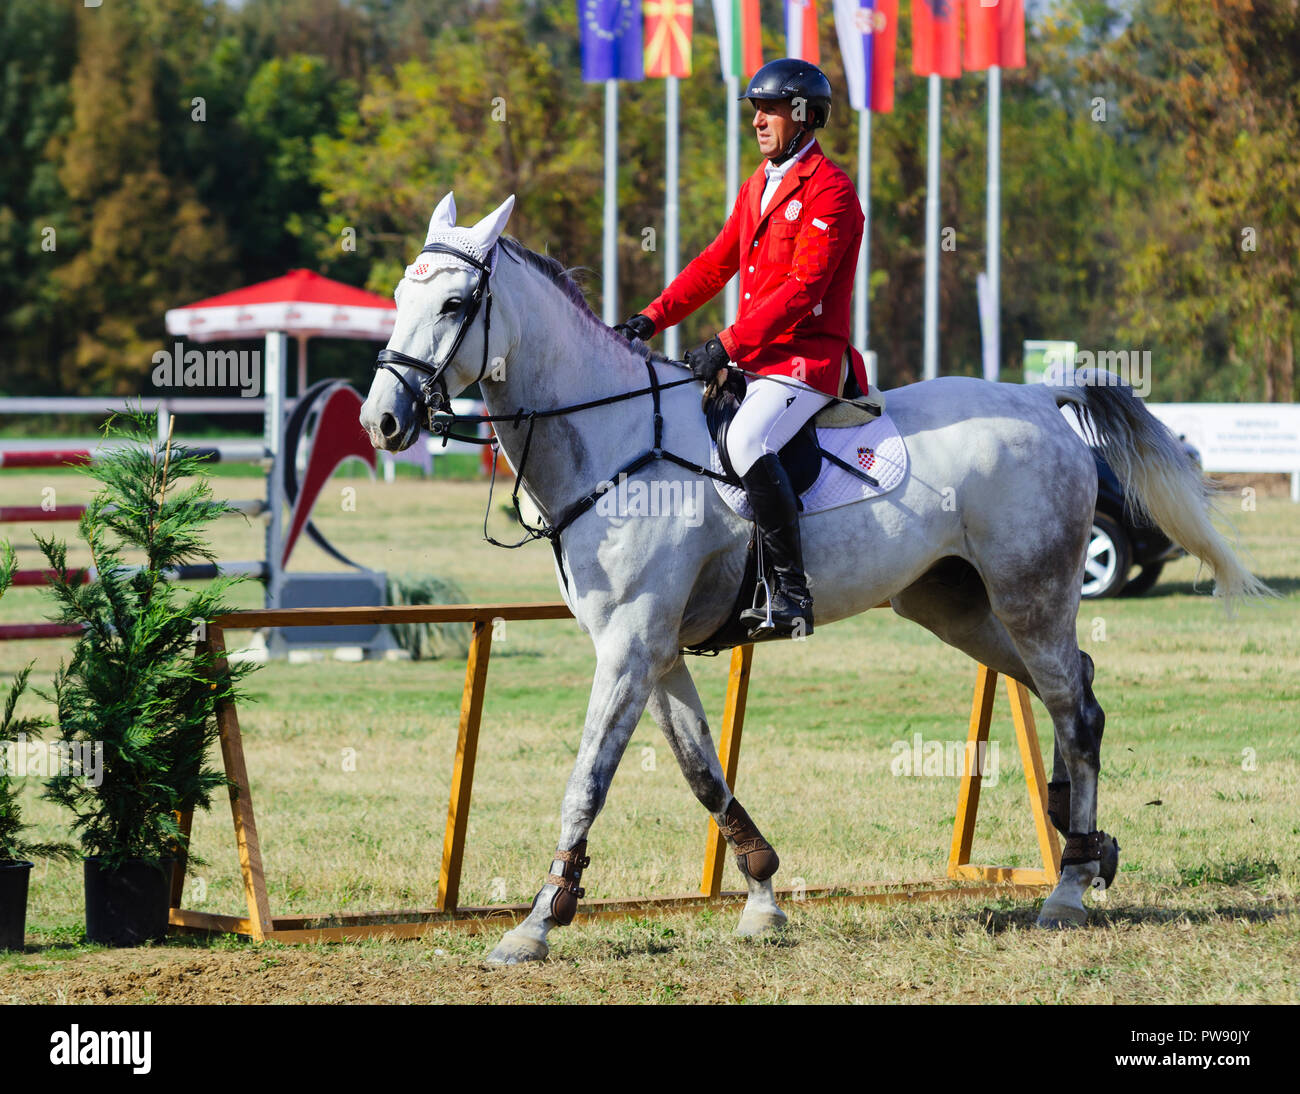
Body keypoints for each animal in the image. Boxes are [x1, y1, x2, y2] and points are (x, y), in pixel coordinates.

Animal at [358, 192, 1268, 961]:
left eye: (454, 306)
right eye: (400, 297)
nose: (383, 422)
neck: (612, 438)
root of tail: (1041, 402)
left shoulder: (630, 644)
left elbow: (588, 780)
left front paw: (538, 922)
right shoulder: (653, 650)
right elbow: (702, 772)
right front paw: (762, 898)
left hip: (1030, 596)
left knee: (1074, 710)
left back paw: (1068, 888)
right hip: (959, 608)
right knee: (1072, 689)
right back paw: (1087, 843)